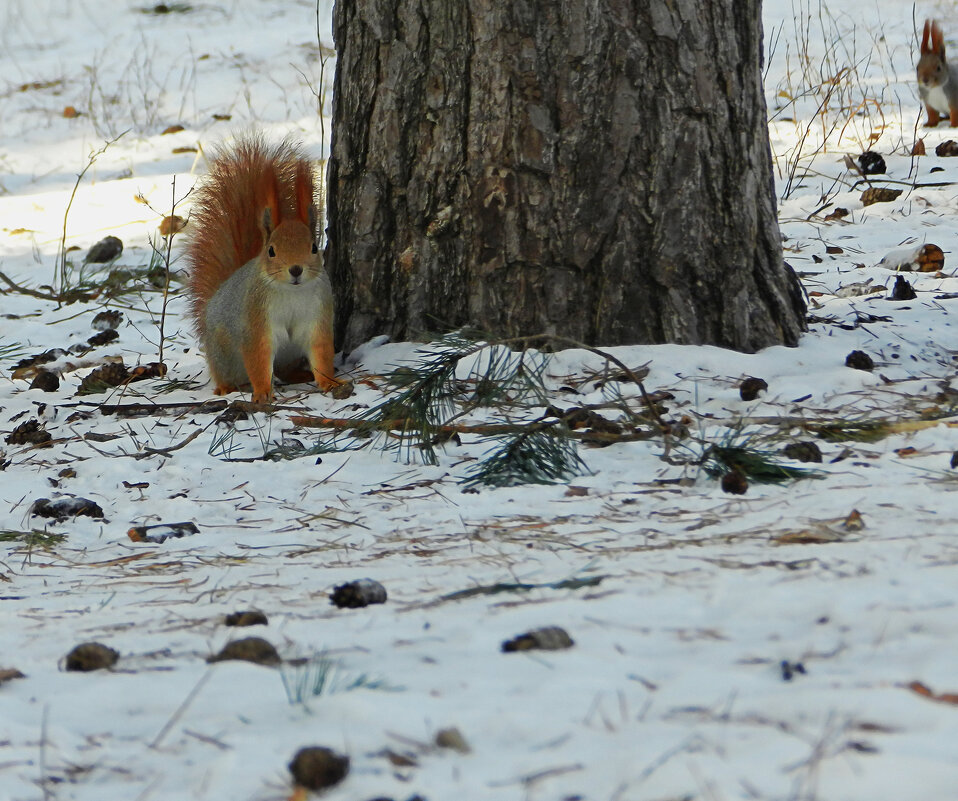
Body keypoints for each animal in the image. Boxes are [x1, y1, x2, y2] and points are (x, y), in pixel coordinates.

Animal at [186, 135, 340, 406]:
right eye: (271, 251)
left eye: (313, 247)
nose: (296, 270)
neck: (291, 291)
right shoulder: (255, 320)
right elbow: (257, 358)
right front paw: (261, 393)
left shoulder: (318, 315)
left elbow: (321, 352)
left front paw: (330, 382)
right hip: (225, 355)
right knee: (228, 372)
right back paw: (225, 387)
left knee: (283, 369)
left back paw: (299, 374)